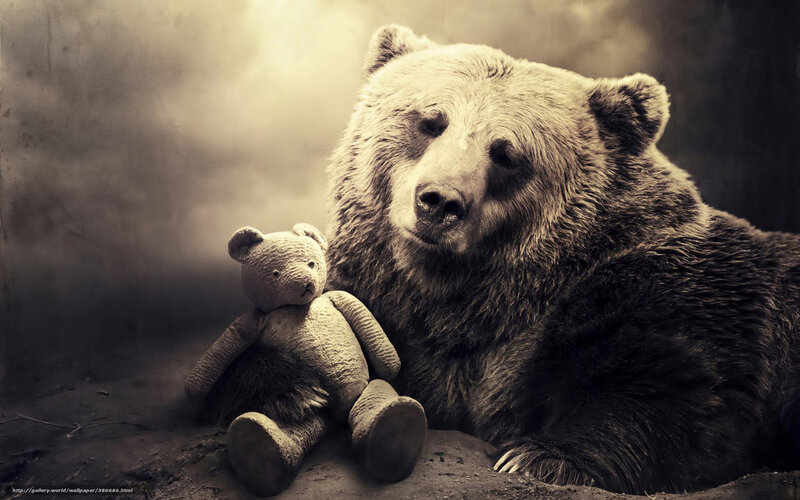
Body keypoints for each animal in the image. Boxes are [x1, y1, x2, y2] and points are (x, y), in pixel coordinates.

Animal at [325, 25, 800, 494]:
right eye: (429, 121)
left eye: (506, 153)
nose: (440, 201)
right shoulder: (400, 314)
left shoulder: (664, 289)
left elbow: (676, 391)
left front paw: (535, 458)